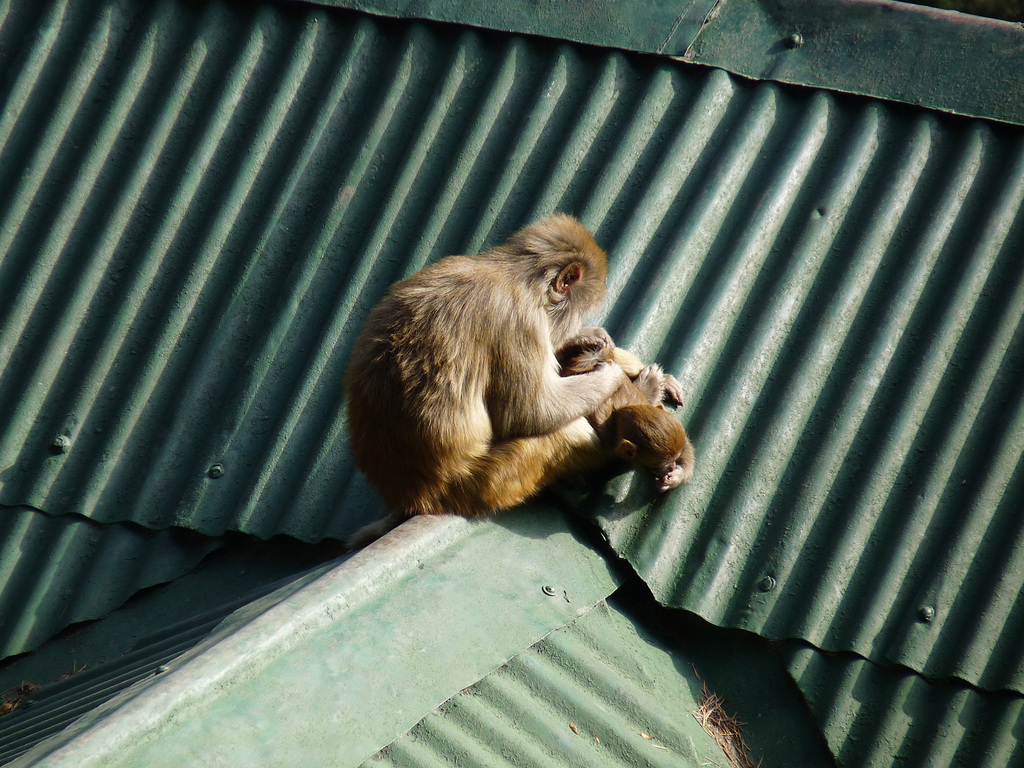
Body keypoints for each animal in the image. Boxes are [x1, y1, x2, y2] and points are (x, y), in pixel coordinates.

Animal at [346, 215, 622, 548]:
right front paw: (610, 376)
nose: (576, 327)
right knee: (565, 430)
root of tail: (414, 497)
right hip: (485, 485)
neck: (520, 278)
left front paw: (581, 340)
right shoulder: (520, 323)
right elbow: (529, 413)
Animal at [561, 331, 696, 489]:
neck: (618, 413)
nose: (673, 466)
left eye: (675, 460)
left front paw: (677, 476)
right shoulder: (603, 442)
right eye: (661, 466)